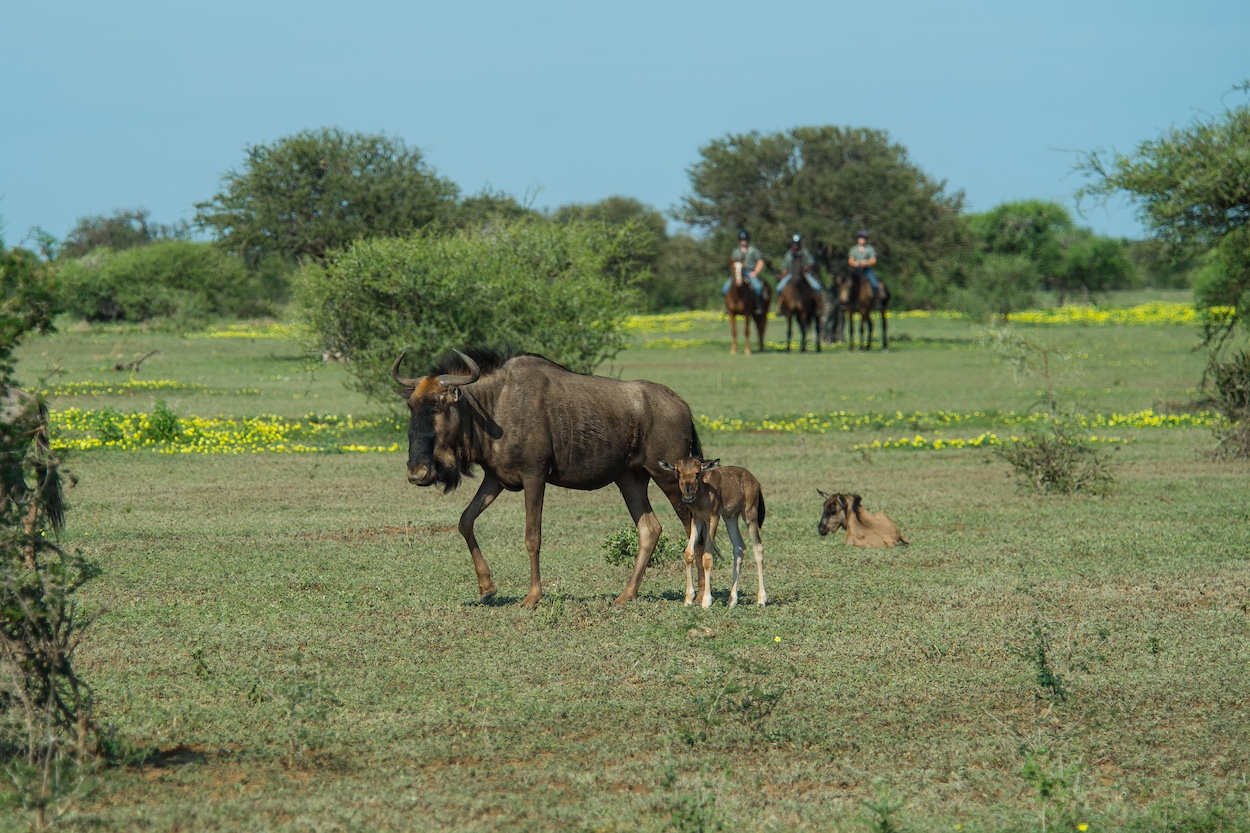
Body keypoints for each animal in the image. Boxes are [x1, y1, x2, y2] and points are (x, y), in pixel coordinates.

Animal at [392, 347, 705, 607]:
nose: (417, 472)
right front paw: (487, 587)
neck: (495, 406)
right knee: (650, 529)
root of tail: (683, 406)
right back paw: (626, 595)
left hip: (672, 481)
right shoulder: (495, 479)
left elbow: (533, 537)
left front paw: (532, 597)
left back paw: (700, 594)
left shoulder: (535, 476)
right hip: (631, 479)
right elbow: (465, 521)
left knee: (694, 526)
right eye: (412, 407)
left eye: (438, 405)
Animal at [660, 457, 765, 607]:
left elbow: (707, 557)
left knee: (758, 547)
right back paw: (732, 600)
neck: (704, 488)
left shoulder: (713, 518)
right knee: (739, 547)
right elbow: (689, 553)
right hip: (730, 518)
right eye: (678, 472)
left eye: (697, 473)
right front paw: (688, 599)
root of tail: (754, 480)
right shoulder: (697, 518)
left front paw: (706, 601)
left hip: (750, 515)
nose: (688, 497)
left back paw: (761, 599)